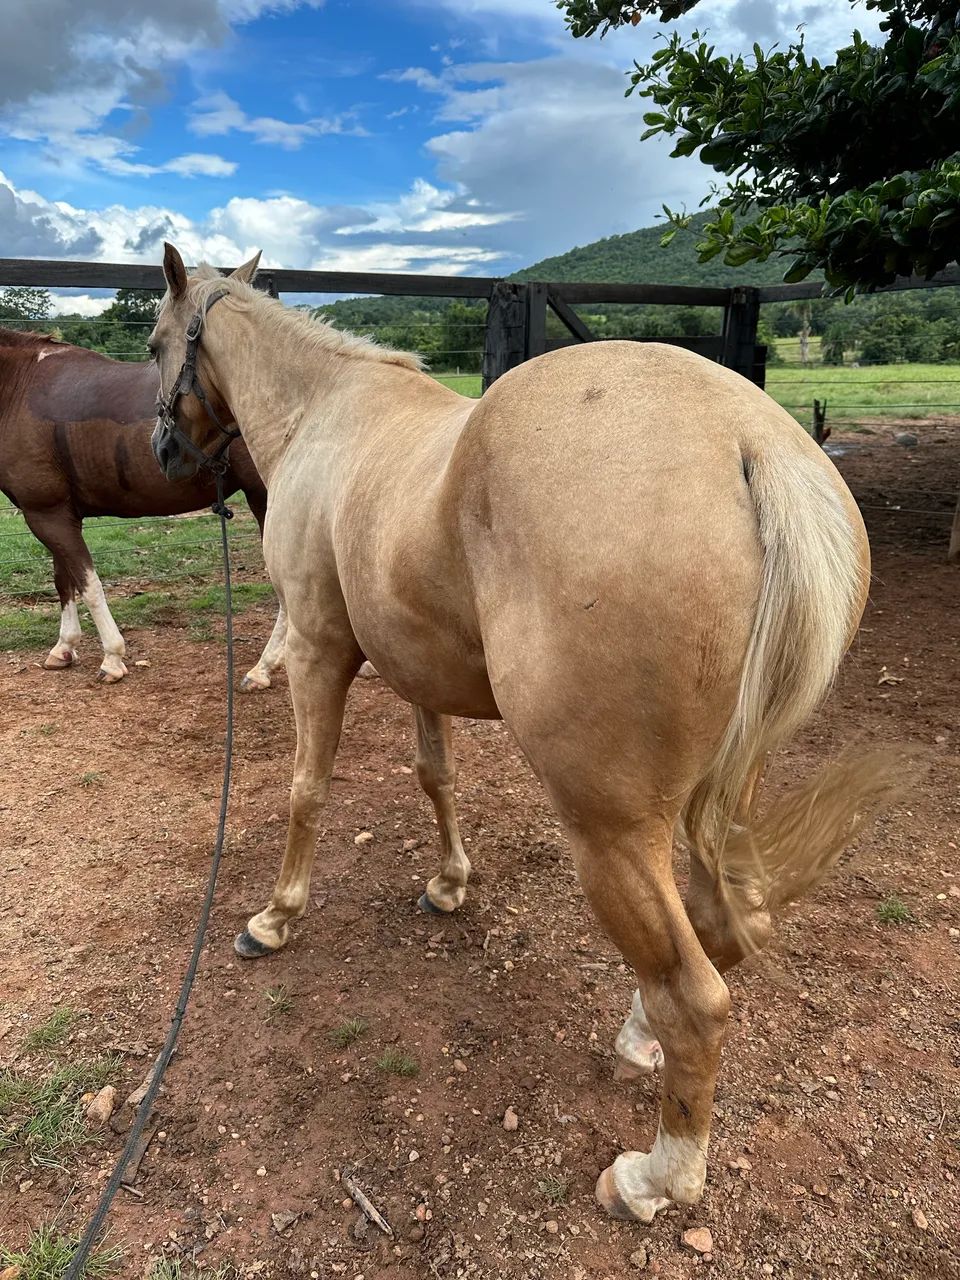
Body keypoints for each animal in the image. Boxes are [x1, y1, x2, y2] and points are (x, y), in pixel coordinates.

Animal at [0, 326, 286, 688]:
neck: (19, 387)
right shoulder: (55, 514)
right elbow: (64, 580)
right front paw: (64, 648)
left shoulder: (45, 514)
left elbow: (89, 586)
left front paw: (112, 658)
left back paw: (263, 668)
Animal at [149, 243, 909, 1224]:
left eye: (156, 341)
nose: (163, 450)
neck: (328, 412)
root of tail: (754, 445)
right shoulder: (415, 670)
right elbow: (434, 775)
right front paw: (449, 884)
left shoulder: (318, 650)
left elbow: (305, 790)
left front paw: (275, 919)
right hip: (726, 791)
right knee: (725, 928)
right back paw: (640, 1035)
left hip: (610, 830)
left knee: (696, 995)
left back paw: (656, 1177)